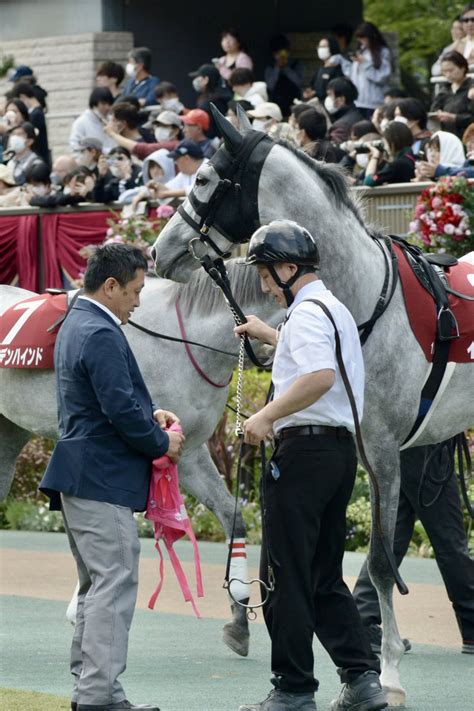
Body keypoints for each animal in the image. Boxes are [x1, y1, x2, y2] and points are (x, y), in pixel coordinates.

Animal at [153, 110, 474, 708]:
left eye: (204, 178)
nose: (160, 251)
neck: (367, 296)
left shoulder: (383, 450)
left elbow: (379, 561)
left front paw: (387, 675)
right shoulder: (365, 452)